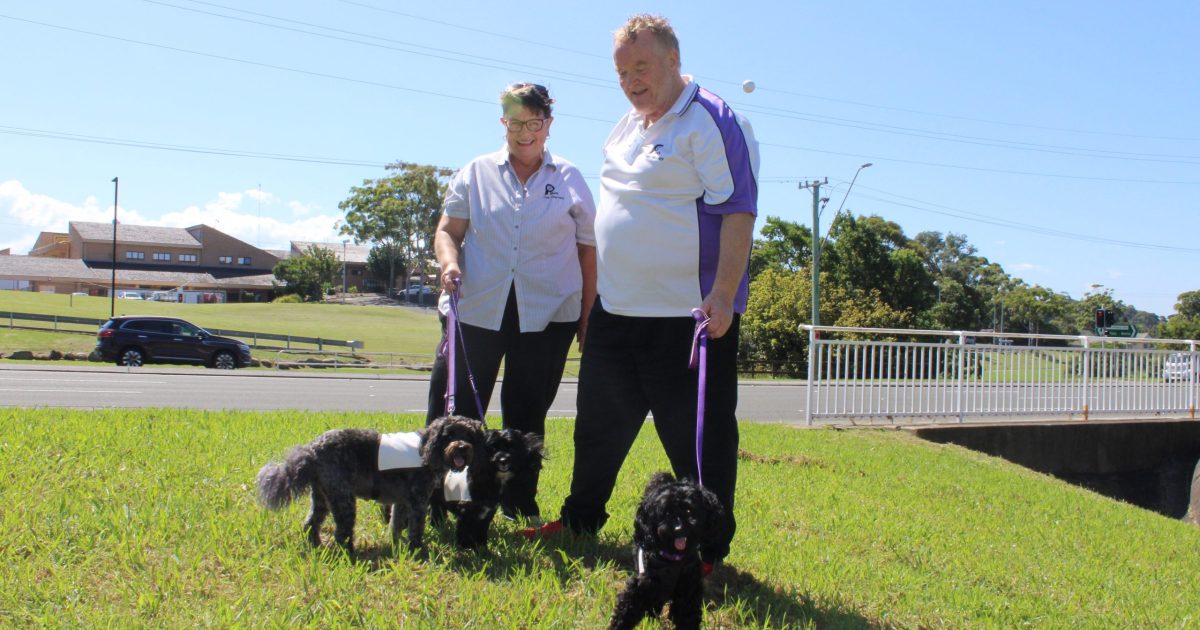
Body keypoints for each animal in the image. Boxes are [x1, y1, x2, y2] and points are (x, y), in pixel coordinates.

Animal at [255, 415, 484, 552]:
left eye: (469, 434)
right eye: (449, 434)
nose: (462, 447)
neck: (427, 448)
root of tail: (311, 450)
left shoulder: (402, 501)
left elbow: (396, 523)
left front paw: (396, 543)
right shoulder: (418, 501)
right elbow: (416, 527)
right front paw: (418, 549)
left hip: (322, 496)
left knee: (311, 522)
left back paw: (316, 544)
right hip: (343, 498)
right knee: (342, 531)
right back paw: (348, 553)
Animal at [609, 470, 720, 628]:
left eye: (689, 510)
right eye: (666, 513)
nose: (678, 528)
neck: (673, 560)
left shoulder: (688, 591)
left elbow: (687, 616)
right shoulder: (641, 587)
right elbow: (625, 611)